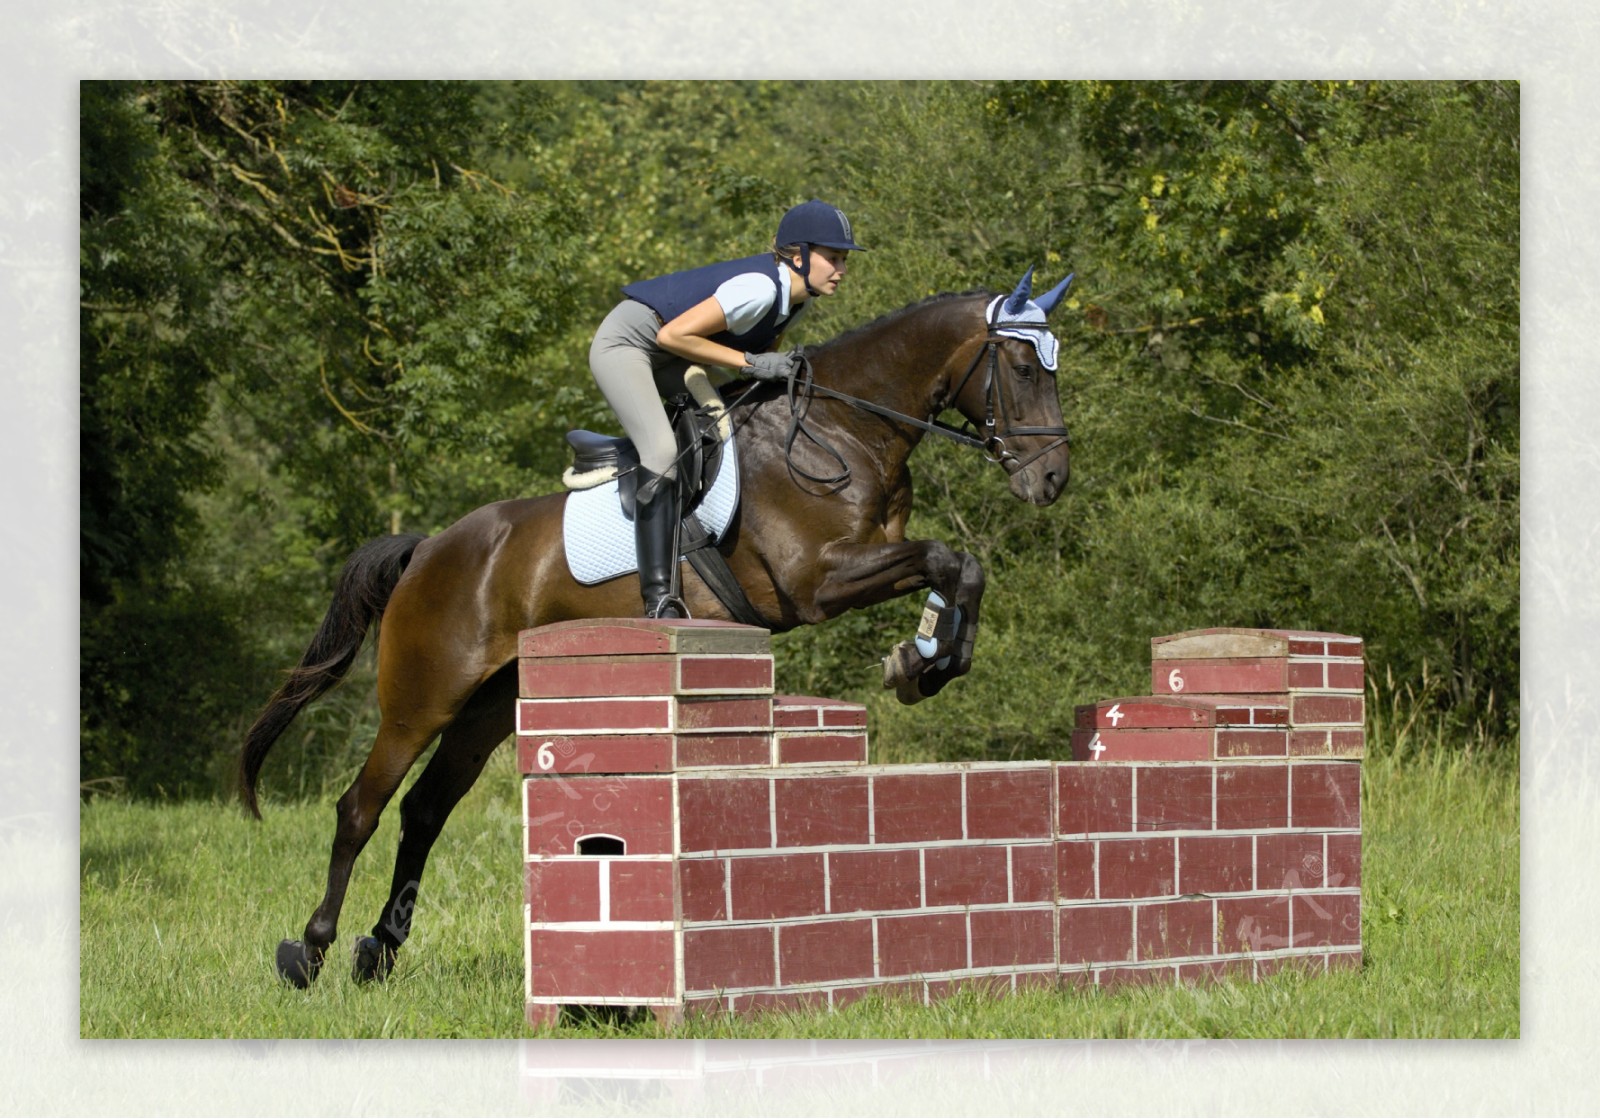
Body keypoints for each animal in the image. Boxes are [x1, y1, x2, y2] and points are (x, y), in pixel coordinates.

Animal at [243, 267, 1075, 986]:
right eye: (1023, 368)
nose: (1053, 479)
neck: (844, 423)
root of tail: (427, 549)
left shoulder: (863, 562)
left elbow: (960, 566)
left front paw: (928, 660)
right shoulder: (819, 579)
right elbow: (944, 557)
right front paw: (919, 660)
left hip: (487, 708)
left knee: (424, 810)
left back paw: (379, 950)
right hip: (423, 698)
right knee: (361, 808)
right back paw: (309, 952)